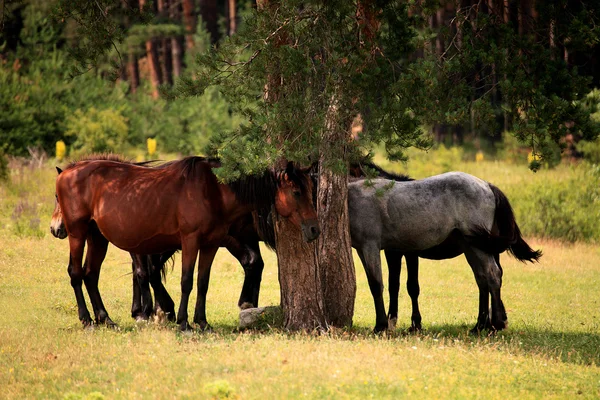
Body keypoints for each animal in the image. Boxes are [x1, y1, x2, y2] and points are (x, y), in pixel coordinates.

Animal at [52, 155, 322, 330]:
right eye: (297, 192)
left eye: (312, 190)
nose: (314, 229)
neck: (213, 190)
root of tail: (68, 172)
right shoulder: (190, 242)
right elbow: (186, 281)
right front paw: (184, 322)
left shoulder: (211, 244)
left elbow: (202, 283)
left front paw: (202, 321)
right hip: (78, 234)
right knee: (77, 273)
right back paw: (88, 320)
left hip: (98, 238)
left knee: (91, 275)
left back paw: (105, 319)